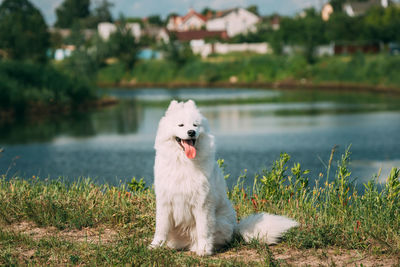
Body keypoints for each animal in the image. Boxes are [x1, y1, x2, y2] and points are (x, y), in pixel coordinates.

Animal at [149, 100, 296, 258]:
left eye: (195, 125)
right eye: (181, 125)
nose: (191, 132)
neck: (184, 162)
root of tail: (236, 228)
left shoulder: (202, 204)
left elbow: (203, 230)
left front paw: (204, 251)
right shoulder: (165, 202)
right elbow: (161, 228)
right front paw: (155, 246)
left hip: (220, 221)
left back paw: (201, 247)